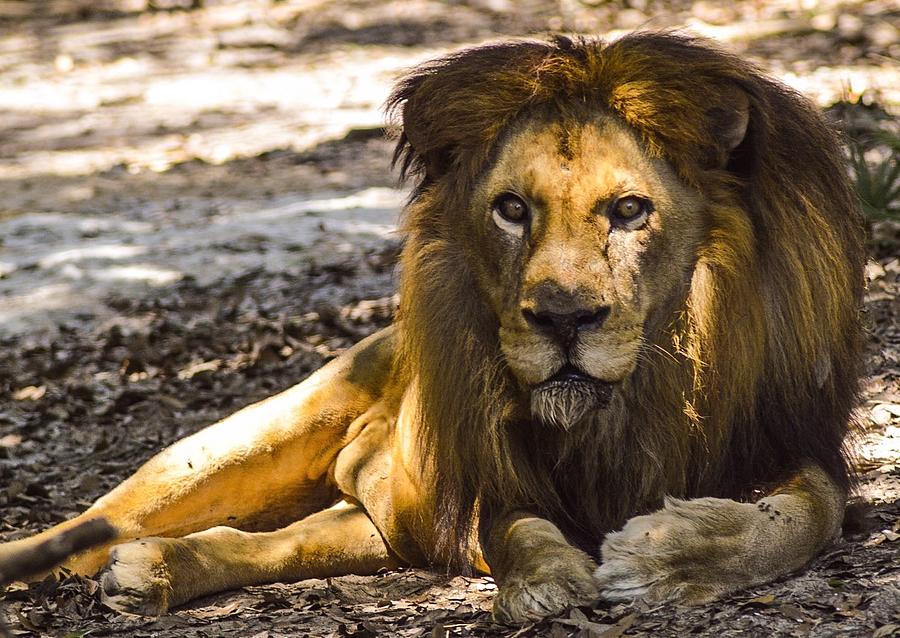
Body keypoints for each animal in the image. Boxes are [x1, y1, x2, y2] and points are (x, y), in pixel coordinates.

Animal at [0, 32, 864, 628]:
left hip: (374, 523)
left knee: (276, 544)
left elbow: (804, 518)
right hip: (231, 450)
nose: (563, 318)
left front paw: (664, 555)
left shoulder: (790, 437)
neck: (637, 397)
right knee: (89, 525)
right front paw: (547, 582)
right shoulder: (482, 475)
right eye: (511, 209)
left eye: (628, 211)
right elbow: (517, 526)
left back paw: (152, 572)